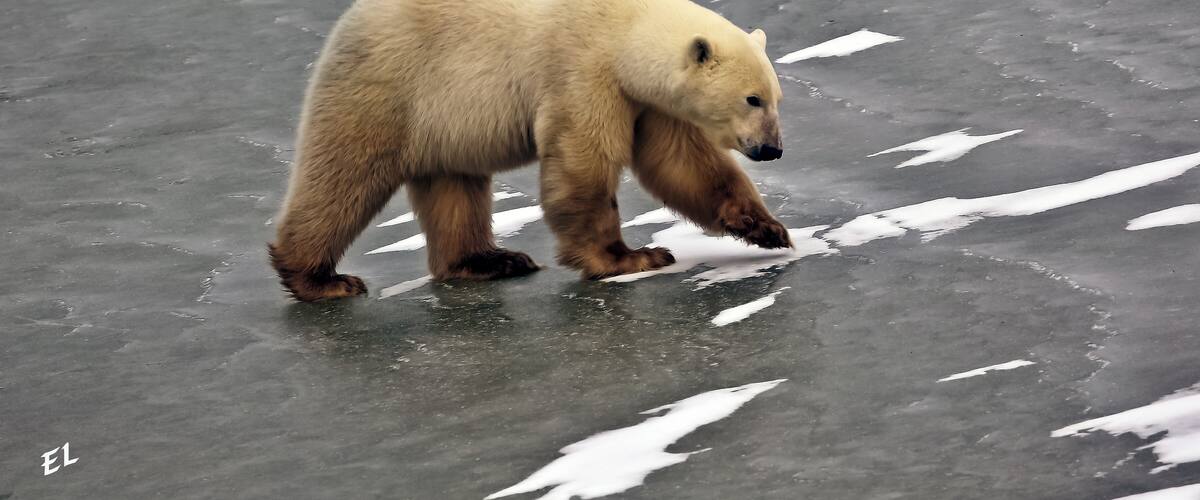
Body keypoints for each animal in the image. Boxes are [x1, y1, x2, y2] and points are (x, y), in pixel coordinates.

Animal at [269, 0, 791, 302]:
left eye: (776, 97)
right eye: (752, 98)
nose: (771, 149)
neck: (626, 27)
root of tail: (348, 21)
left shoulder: (648, 101)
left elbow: (684, 164)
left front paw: (767, 229)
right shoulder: (582, 70)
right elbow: (584, 162)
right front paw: (630, 258)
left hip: (442, 119)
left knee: (453, 187)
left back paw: (489, 261)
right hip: (391, 84)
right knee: (344, 175)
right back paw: (320, 279)